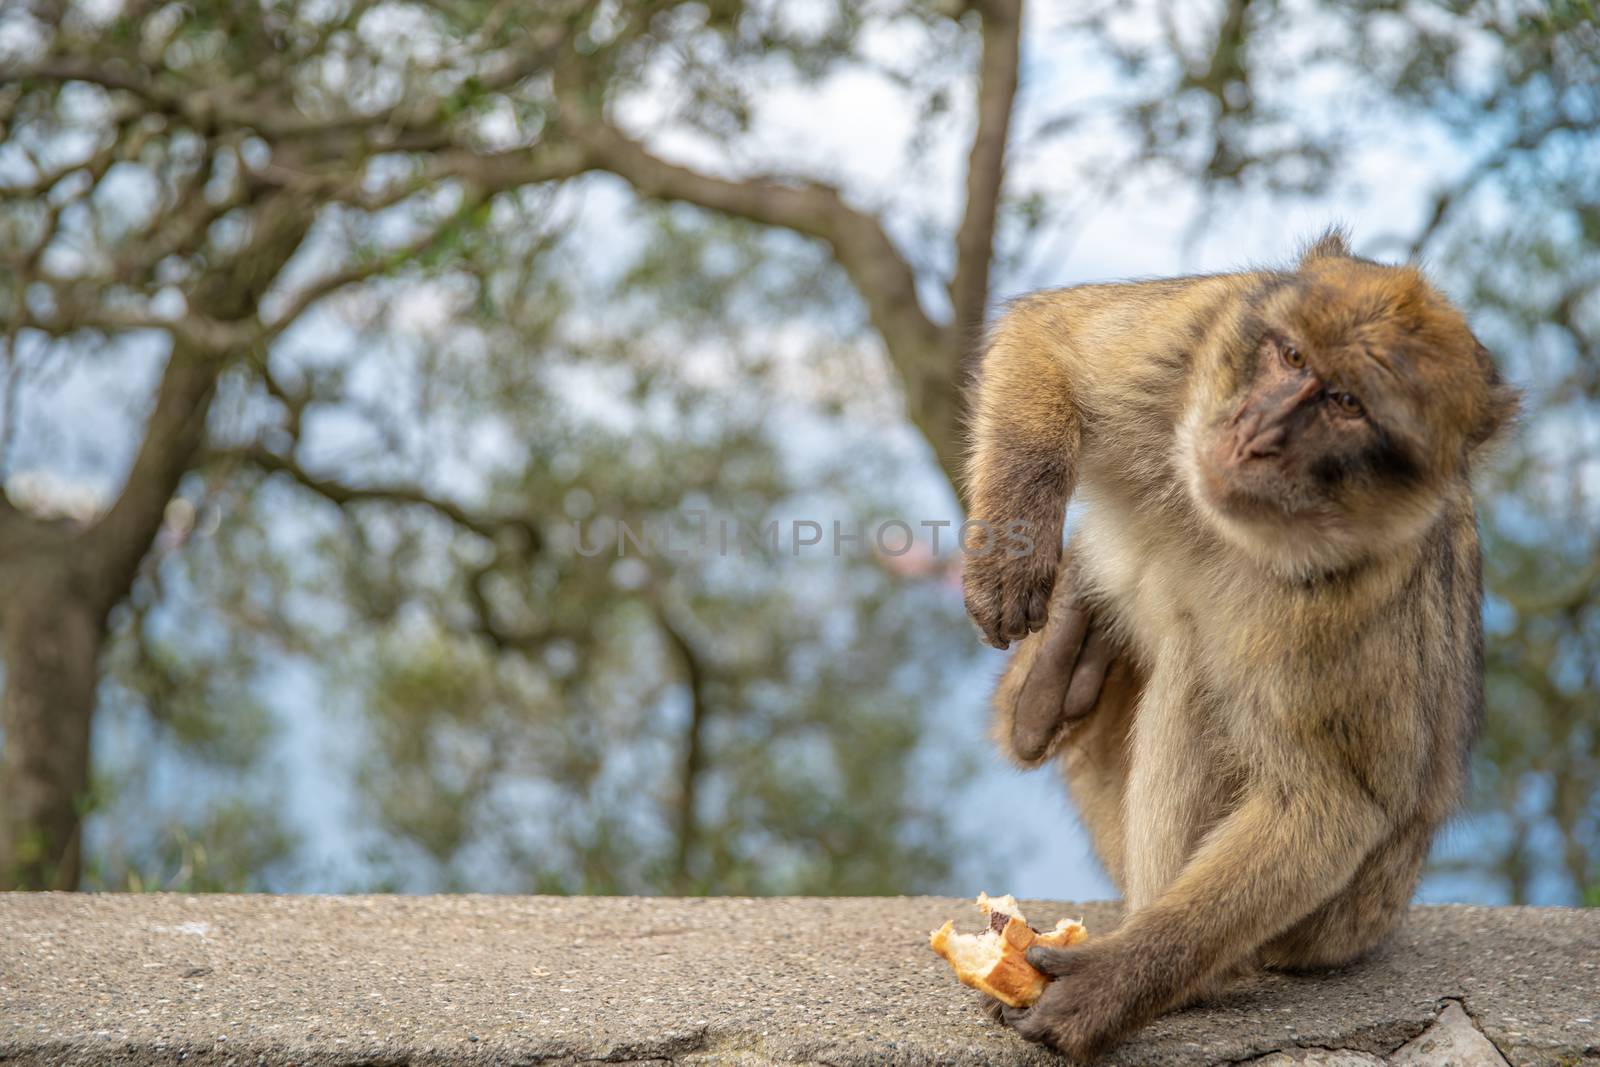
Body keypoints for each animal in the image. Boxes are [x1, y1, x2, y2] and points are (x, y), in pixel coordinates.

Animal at [953, 231, 1516, 1062]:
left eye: (1345, 404)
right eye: (1289, 355)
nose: (1258, 431)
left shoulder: (1346, 601)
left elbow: (1325, 805)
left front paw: (1112, 983)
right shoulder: (1197, 332)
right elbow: (1048, 333)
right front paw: (1012, 547)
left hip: (1339, 920)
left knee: (1196, 671)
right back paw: (1055, 673)